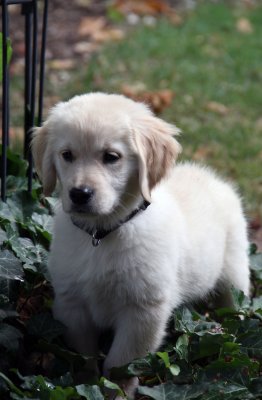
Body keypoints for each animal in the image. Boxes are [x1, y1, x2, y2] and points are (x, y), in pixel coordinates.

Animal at [32, 93, 250, 396]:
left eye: (111, 157)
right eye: (67, 155)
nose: (79, 194)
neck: (102, 234)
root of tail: (211, 178)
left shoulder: (144, 310)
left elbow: (120, 362)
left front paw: (117, 390)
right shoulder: (71, 304)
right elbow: (83, 356)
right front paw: (88, 384)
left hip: (234, 274)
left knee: (235, 309)